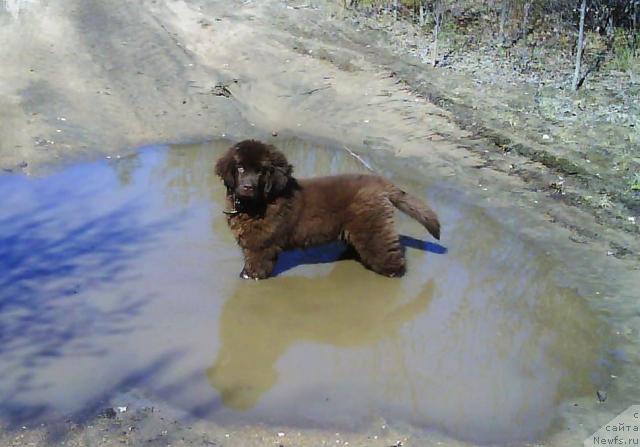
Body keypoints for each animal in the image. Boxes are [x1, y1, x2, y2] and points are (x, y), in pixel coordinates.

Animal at [215, 140, 440, 280]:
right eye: (240, 168)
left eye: (261, 172)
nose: (247, 187)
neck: (256, 204)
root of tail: (381, 182)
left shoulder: (261, 244)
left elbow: (256, 263)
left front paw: (249, 277)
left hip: (373, 227)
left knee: (387, 253)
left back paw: (394, 273)